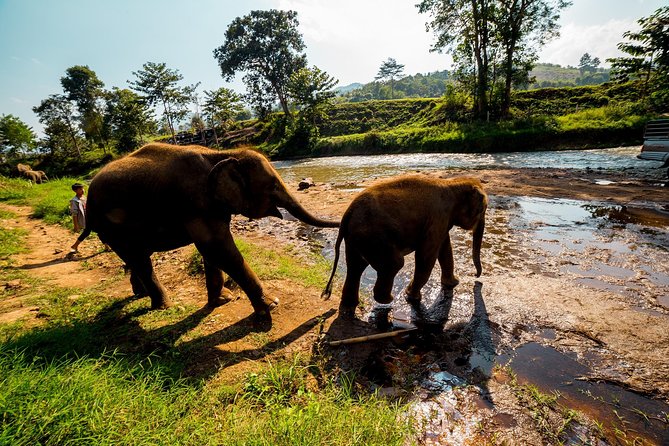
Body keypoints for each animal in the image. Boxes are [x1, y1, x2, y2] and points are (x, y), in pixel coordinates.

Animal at [87, 145, 340, 322]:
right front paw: (270, 305)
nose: (326, 297)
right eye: (273, 186)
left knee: (136, 257)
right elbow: (217, 248)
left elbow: (212, 252)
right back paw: (164, 306)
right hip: (110, 227)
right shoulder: (194, 203)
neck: (220, 154)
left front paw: (222, 300)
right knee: (139, 259)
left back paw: (140, 294)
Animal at [320, 175, 488, 318]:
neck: (452, 183)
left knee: (355, 267)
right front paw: (412, 297)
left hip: (356, 239)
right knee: (394, 263)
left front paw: (453, 283)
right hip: (375, 238)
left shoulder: (442, 221)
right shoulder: (438, 217)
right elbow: (427, 255)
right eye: (482, 210)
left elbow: (445, 249)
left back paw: (349, 307)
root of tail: (347, 214)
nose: (476, 276)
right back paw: (388, 299)